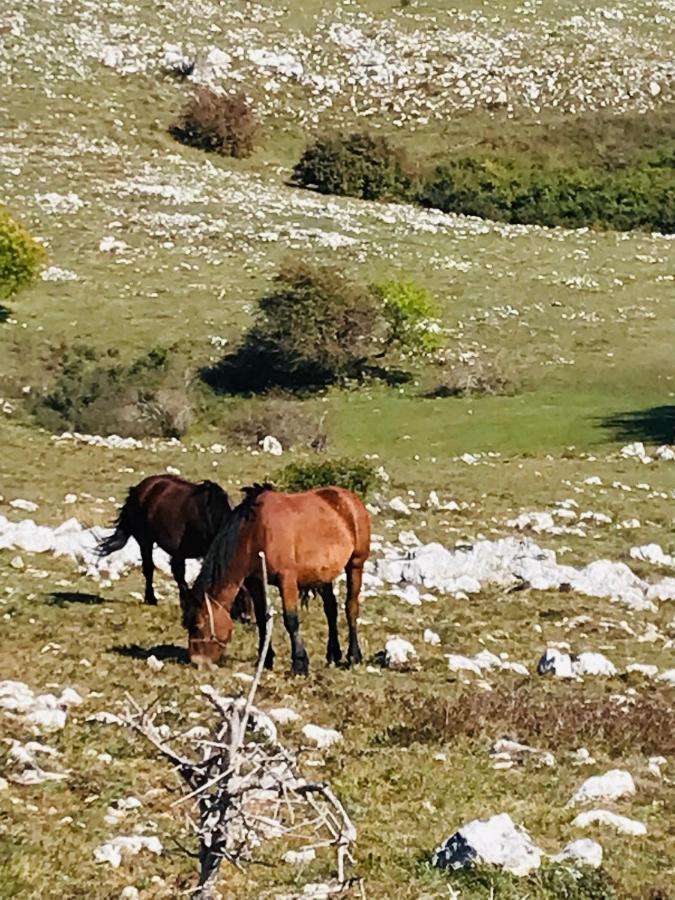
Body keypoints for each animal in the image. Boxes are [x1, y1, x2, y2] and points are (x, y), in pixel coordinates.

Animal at [182, 486, 372, 676]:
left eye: (197, 625)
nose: (198, 662)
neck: (255, 533)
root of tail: (350, 498)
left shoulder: (286, 579)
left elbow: (291, 620)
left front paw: (300, 664)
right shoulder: (255, 582)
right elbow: (261, 619)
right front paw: (266, 659)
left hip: (355, 565)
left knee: (351, 607)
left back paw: (354, 656)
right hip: (323, 575)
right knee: (331, 610)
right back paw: (333, 654)